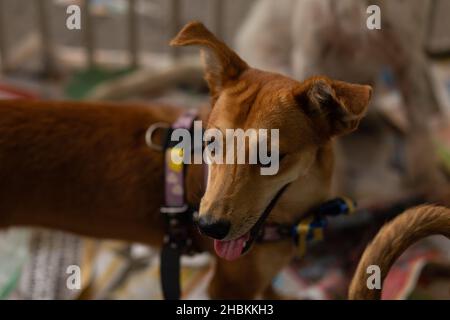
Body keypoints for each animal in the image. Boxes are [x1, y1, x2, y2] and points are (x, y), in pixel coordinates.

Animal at [0, 22, 370, 300]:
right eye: (210, 144)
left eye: (271, 157)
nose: (207, 226)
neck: (296, 214)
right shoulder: (229, 285)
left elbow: (272, 291)